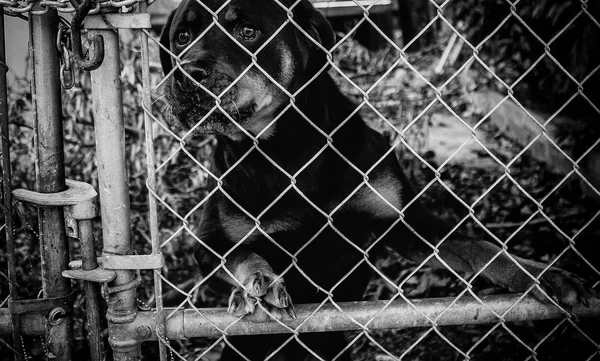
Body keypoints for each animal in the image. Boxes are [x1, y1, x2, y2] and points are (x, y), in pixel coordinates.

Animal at [158, 1, 596, 358]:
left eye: (246, 30)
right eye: (182, 37)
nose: (183, 73)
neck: (290, 152)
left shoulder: (405, 224)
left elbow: (483, 247)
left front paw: (544, 274)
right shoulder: (207, 245)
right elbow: (240, 254)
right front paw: (259, 279)